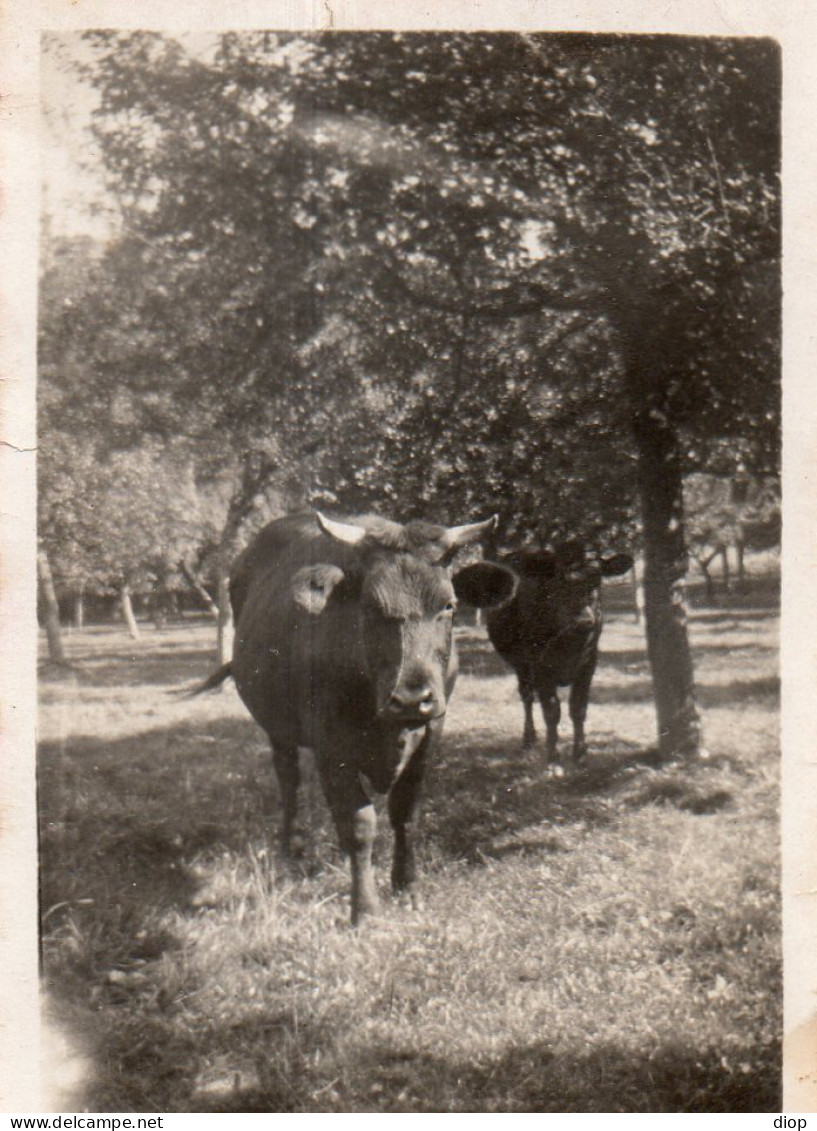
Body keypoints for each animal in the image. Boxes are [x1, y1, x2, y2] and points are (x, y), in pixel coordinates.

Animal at [196, 513, 511, 927]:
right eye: (370, 607)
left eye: (448, 605)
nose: (412, 698)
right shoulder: (332, 749)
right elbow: (359, 824)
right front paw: (366, 908)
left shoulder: (429, 736)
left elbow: (404, 814)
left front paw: (407, 887)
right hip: (276, 724)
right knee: (288, 776)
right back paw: (293, 848)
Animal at [486, 540, 633, 773]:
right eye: (560, 579)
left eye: (597, 578)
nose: (584, 620)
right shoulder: (540, 667)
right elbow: (552, 711)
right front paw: (553, 760)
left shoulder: (588, 664)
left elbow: (578, 708)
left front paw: (580, 755)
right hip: (520, 665)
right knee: (527, 696)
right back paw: (529, 739)